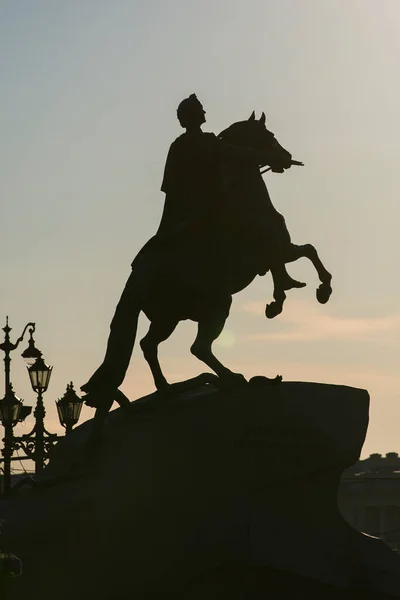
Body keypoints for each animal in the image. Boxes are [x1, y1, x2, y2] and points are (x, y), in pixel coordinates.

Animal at [81, 112, 332, 422]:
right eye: (269, 136)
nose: (286, 157)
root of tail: (139, 276)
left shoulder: (277, 253)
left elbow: (292, 264)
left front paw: (280, 298)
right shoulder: (280, 248)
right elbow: (309, 251)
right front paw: (319, 289)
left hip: (168, 318)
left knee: (149, 345)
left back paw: (167, 388)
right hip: (216, 304)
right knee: (198, 347)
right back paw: (230, 378)